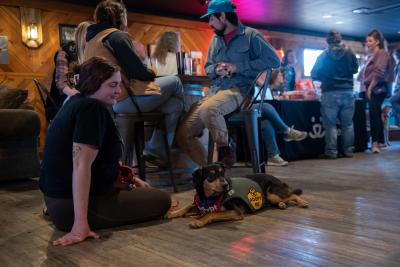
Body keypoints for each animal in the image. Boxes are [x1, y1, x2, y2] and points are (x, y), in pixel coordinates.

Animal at [166, 164, 310, 229]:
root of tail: (277, 179)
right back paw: (281, 205)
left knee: (292, 194)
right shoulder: (198, 204)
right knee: (285, 198)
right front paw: (171, 213)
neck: (208, 197)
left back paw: (302, 202)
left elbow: (212, 213)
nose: (225, 185)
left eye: (222, 173)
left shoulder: (235, 211)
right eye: (211, 175)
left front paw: (199, 221)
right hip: (270, 198)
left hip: (271, 194)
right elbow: (186, 206)